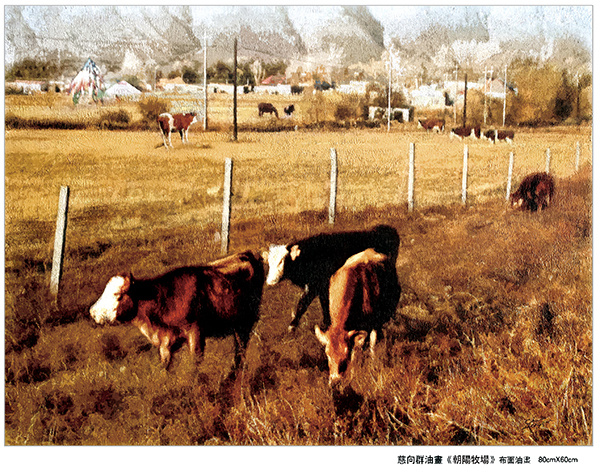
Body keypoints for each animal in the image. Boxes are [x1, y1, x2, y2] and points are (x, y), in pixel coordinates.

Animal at [89, 251, 264, 370]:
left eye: (117, 295)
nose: (93, 312)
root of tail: (247, 254)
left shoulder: (195, 334)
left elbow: (195, 365)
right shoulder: (165, 342)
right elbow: (165, 366)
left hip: (246, 322)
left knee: (241, 348)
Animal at [264, 226, 398, 332]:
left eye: (282, 261)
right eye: (269, 262)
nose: (270, 281)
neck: (309, 256)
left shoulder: (316, 285)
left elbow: (304, 304)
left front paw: (292, 326)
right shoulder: (319, 286)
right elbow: (323, 302)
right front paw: (325, 323)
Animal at [314, 249, 404, 386]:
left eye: (345, 354)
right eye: (327, 354)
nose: (335, 381)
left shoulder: (366, 326)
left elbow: (357, 350)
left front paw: (353, 374)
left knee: (373, 339)